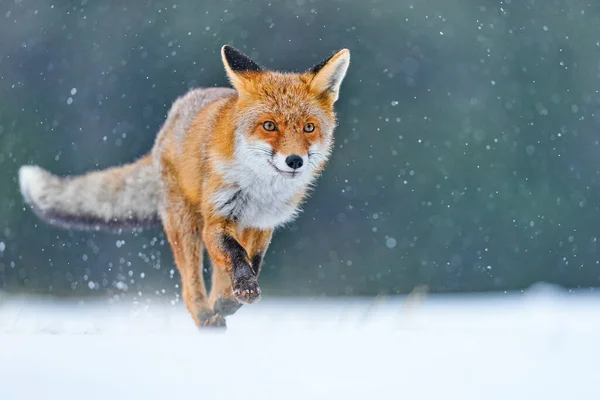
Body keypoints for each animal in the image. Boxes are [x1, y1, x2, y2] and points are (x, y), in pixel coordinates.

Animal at [18, 45, 350, 328]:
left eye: (309, 127)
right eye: (269, 126)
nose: (295, 161)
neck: (261, 191)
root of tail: (167, 125)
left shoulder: (262, 224)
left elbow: (252, 261)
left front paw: (233, 297)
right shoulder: (218, 219)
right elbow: (237, 256)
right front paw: (241, 290)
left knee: (216, 277)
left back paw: (219, 306)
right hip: (186, 225)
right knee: (191, 287)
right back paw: (205, 316)